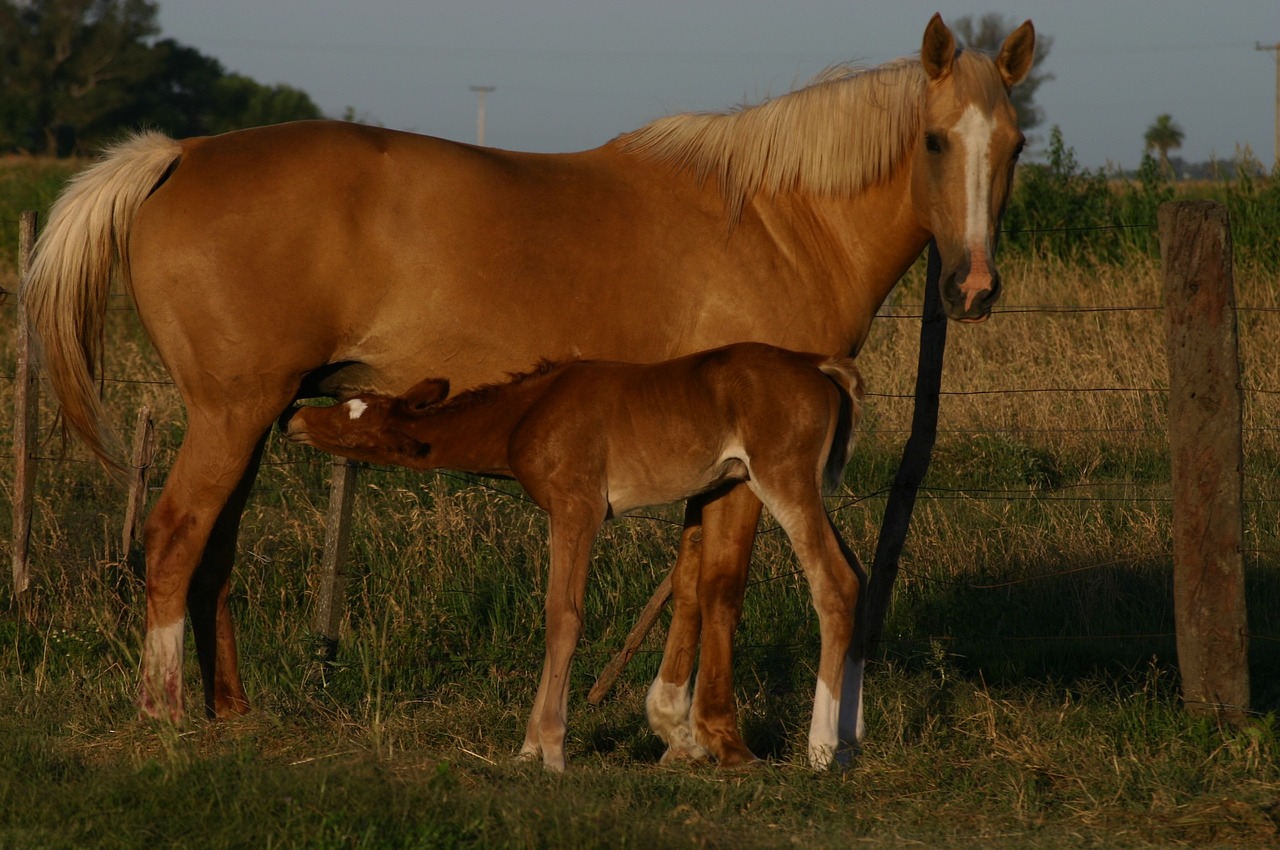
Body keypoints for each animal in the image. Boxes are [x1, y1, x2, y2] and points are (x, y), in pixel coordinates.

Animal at [281, 340, 865, 768]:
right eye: (345, 406)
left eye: (352, 429)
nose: (295, 421)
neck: (527, 413)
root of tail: (818, 364)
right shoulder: (563, 514)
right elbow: (553, 614)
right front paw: (527, 749)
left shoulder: (577, 507)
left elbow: (564, 616)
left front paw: (552, 749)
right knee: (859, 575)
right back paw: (850, 739)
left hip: (784, 479)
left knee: (834, 583)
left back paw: (821, 748)